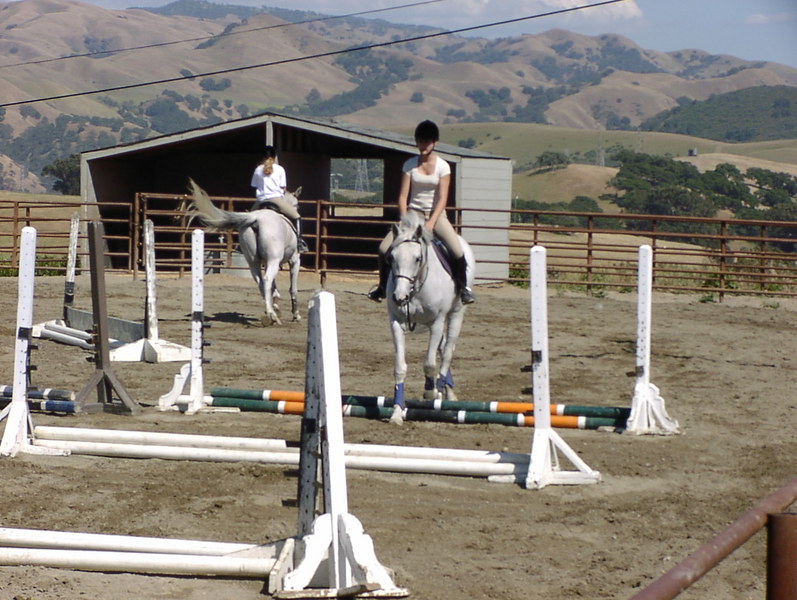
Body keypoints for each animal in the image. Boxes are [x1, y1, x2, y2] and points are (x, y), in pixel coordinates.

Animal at [187, 179, 301, 326]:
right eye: (297, 205)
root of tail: (256, 218)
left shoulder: (266, 262)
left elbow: (274, 287)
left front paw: (276, 305)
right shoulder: (294, 260)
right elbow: (292, 288)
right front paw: (295, 314)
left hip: (253, 262)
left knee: (261, 282)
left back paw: (271, 313)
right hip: (273, 260)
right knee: (266, 280)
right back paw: (272, 315)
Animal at [385, 211, 475, 425]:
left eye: (418, 258)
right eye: (391, 257)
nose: (399, 297)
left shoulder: (437, 322)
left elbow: (429, 363)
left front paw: (429, 392)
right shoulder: (396, 322)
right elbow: (400, 367)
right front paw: (397, 413)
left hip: (456, 314)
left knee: (447, 351)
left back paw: (440, 391)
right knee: (442, 349)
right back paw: (448, 392)